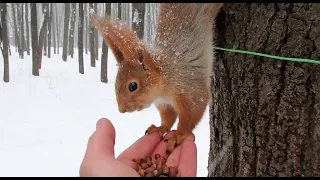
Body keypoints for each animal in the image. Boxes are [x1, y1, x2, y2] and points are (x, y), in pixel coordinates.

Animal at [90, 3, 222, 155]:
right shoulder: (164, 103)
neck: (162, 90)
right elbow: (168, 117)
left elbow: (191, 113)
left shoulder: (188, 86)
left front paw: (178, 135)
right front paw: (160, 128)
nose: (122, 110)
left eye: (133, 86)